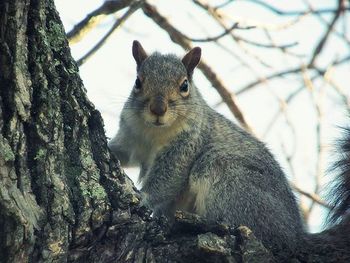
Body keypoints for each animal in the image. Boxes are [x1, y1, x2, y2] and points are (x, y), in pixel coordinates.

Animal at [108, 40, 350, 258]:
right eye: (138, 82)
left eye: (184, 85)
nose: (158, 109)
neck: (153, 132)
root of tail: (294, 237)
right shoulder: (130, 136)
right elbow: (122, 153)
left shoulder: (186, 146)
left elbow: (167, 179)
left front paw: (143, 197)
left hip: (228, 176)